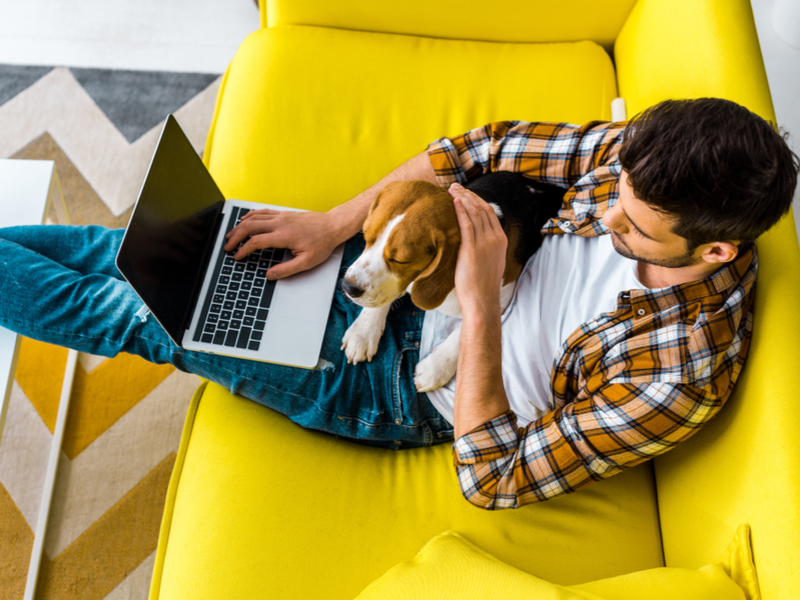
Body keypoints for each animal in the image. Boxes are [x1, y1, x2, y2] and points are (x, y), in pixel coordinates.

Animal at [340, 171, 560, 392]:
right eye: (365, 236)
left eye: (400, 260)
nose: (347, 287)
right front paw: (364, 331)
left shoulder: (502, 296)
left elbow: (463, 330)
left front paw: (435, 368)